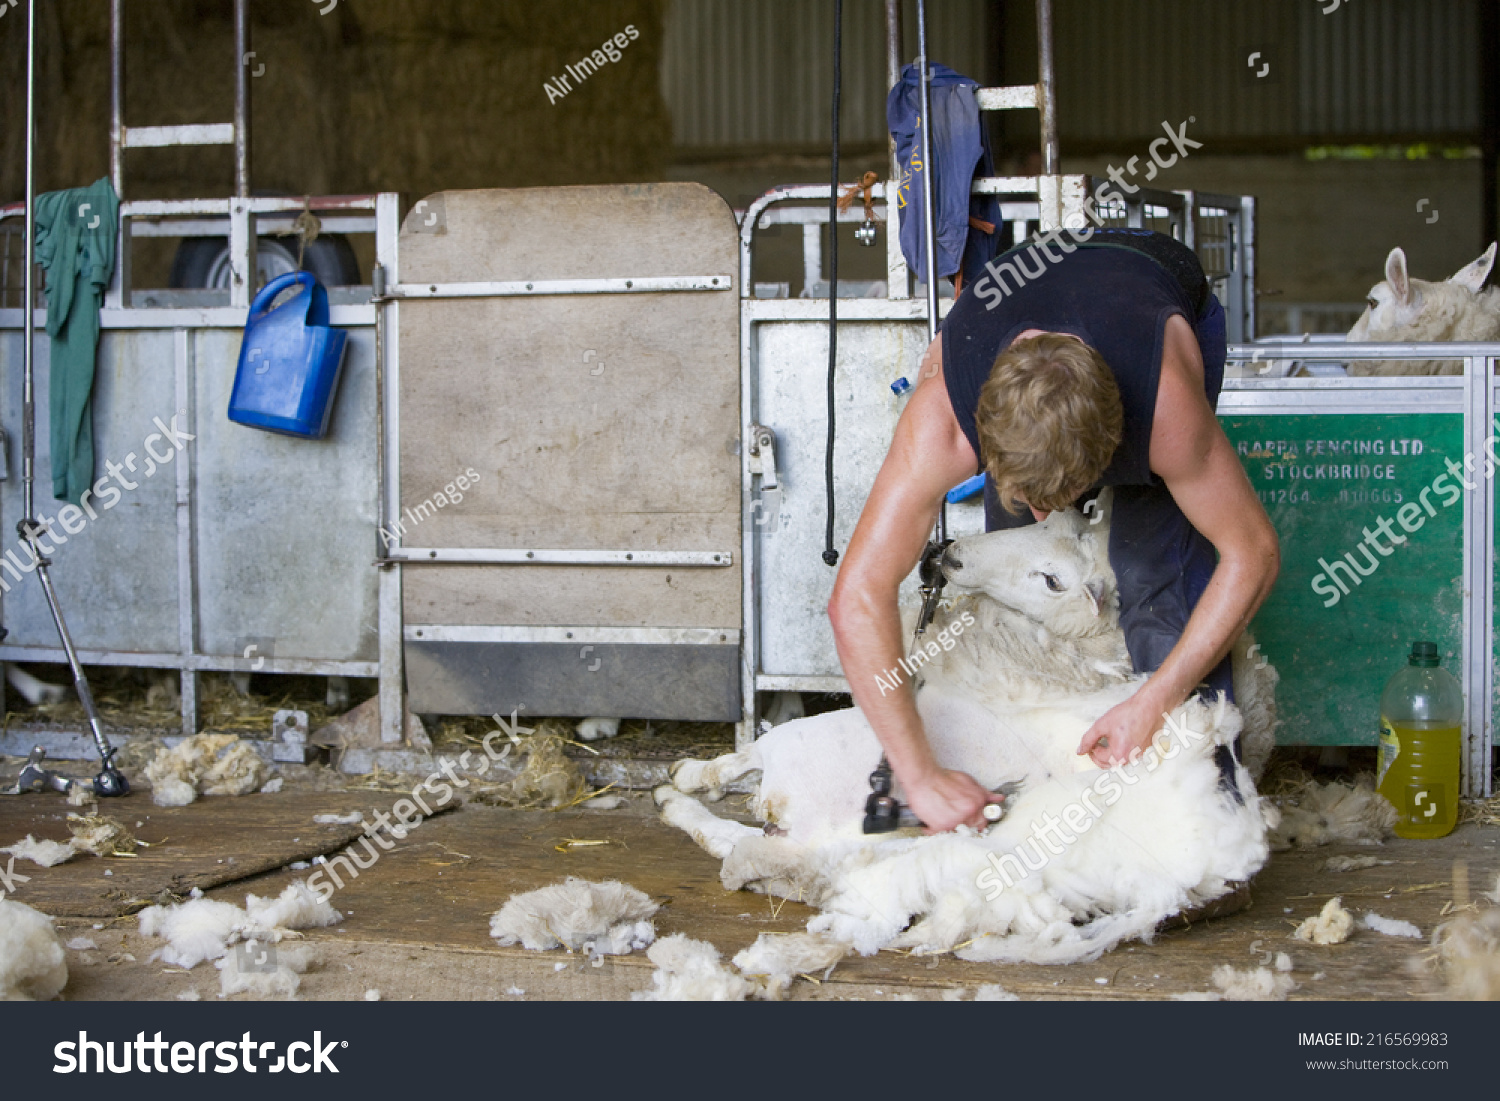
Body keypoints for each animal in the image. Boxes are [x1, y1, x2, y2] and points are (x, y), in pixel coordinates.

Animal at [657, 492, 1278, 966]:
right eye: (1041, 522)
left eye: (1052, 579)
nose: (951, 553)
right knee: (755, 822)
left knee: (752, 840)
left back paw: (688, 804)